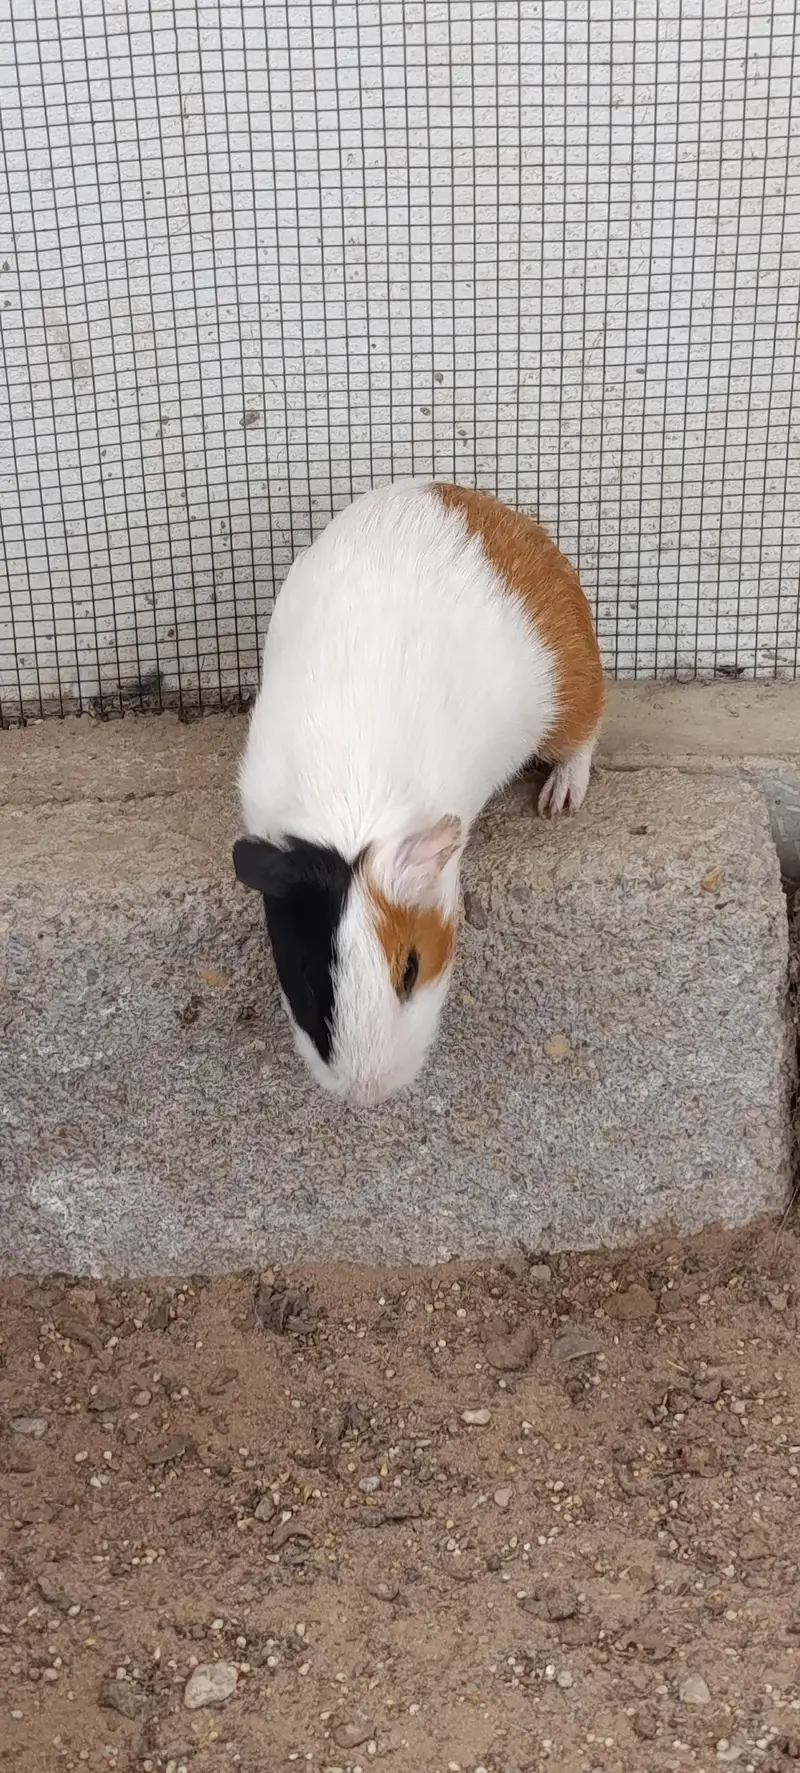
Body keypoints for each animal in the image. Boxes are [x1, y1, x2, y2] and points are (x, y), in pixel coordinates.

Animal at [234, 479, 604, 1105]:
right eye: (308, 975)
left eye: (410, 967)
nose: (368, 1093)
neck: (351, 816)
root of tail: (454, 493)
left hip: (572, 693)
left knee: (583, 741)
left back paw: (558, 802)